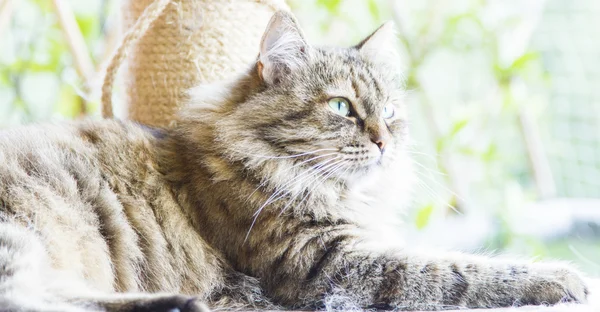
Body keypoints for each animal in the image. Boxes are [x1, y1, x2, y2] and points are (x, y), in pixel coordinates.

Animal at [0, 10, 592, 312]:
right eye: (342, 107)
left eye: (390, 112)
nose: (384, 141)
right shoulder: (326, 262)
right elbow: (458, 270)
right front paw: (567, 279)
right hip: (24, 237)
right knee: (34, 300)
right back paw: (181, 302)